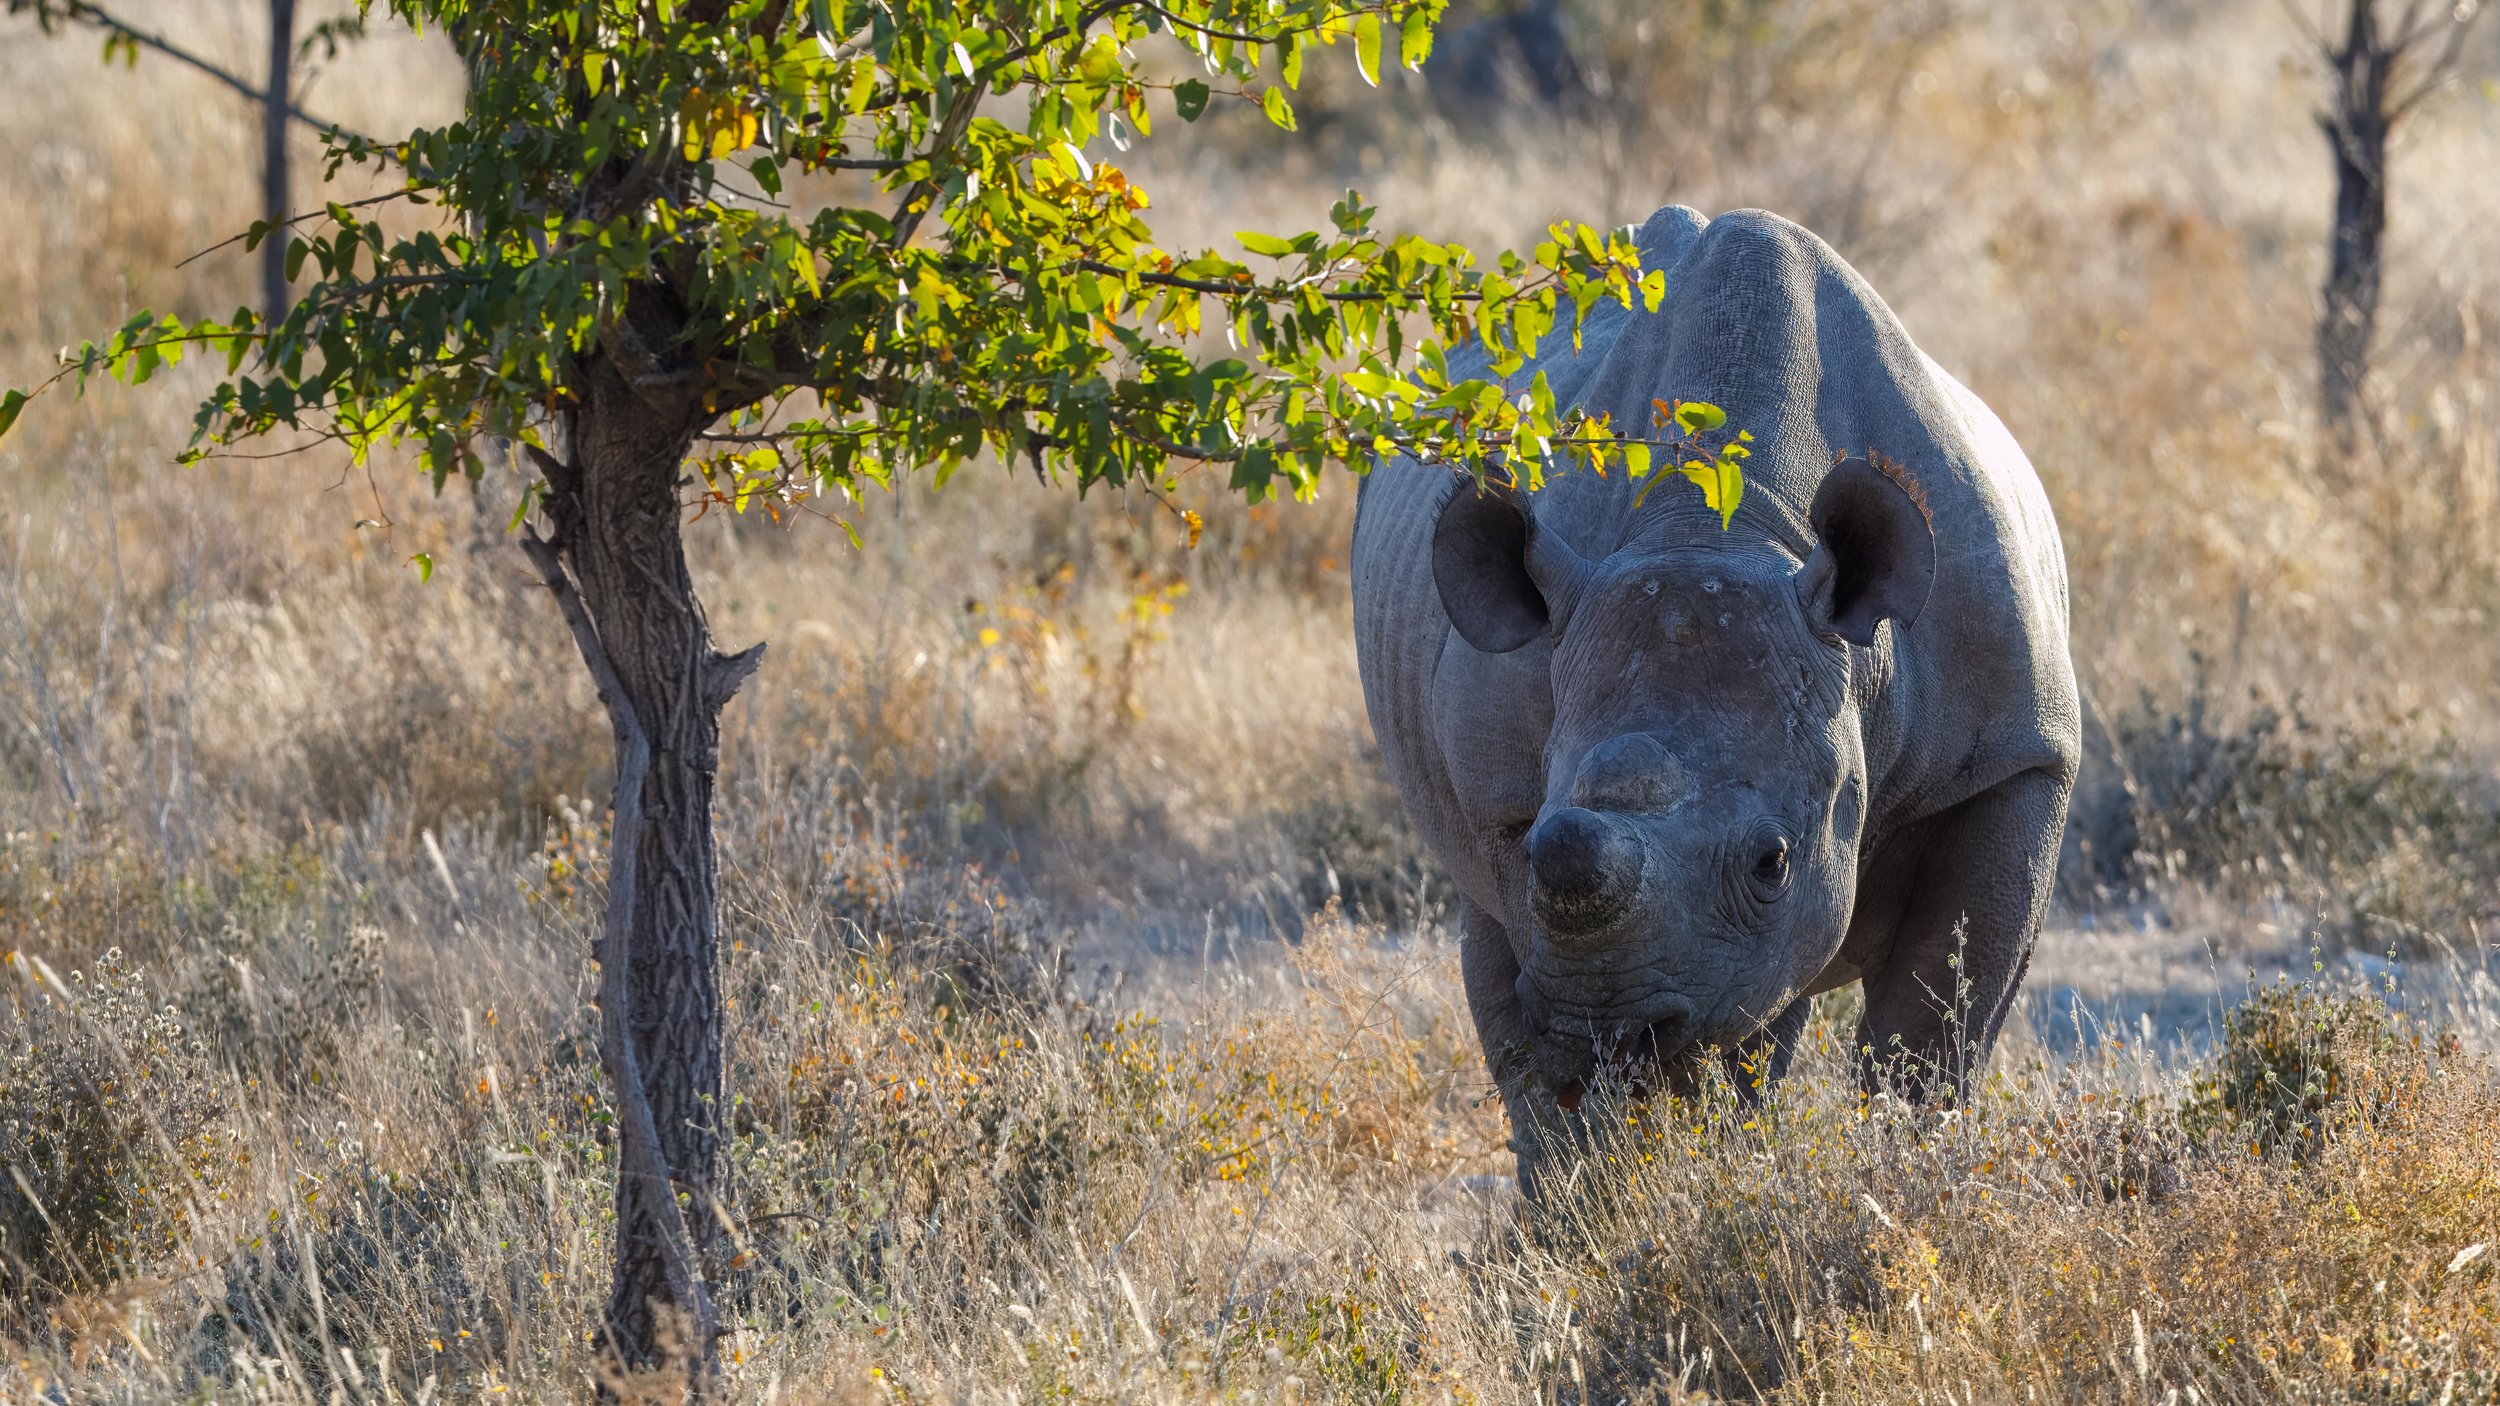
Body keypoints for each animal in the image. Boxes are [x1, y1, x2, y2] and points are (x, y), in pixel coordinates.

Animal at [1351, 206, 2078, 1181]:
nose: (1601, 1031)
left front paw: (1904, 1173)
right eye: (1534, 834)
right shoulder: (1507, 804)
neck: (1722, 533)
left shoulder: (2016, 756)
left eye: (1772, 861)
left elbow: (1934, 1028)